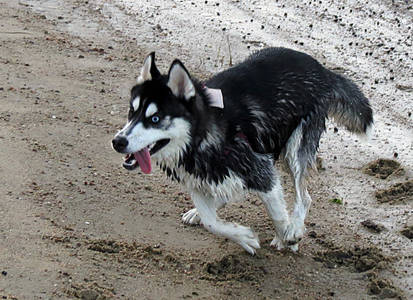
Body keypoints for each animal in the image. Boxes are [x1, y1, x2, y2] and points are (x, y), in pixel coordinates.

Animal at [111, 48, 372, 253]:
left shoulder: (262, 171)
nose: (118, 142)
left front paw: (286, 235)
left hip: (295, 148)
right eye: (132, 112)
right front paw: (243, 237)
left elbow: (277, 213)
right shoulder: (195, 179)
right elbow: (211, 222)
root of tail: (322, 69)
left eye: (155, 119)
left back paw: (293, 227)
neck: (200, 140)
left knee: (304, 196)